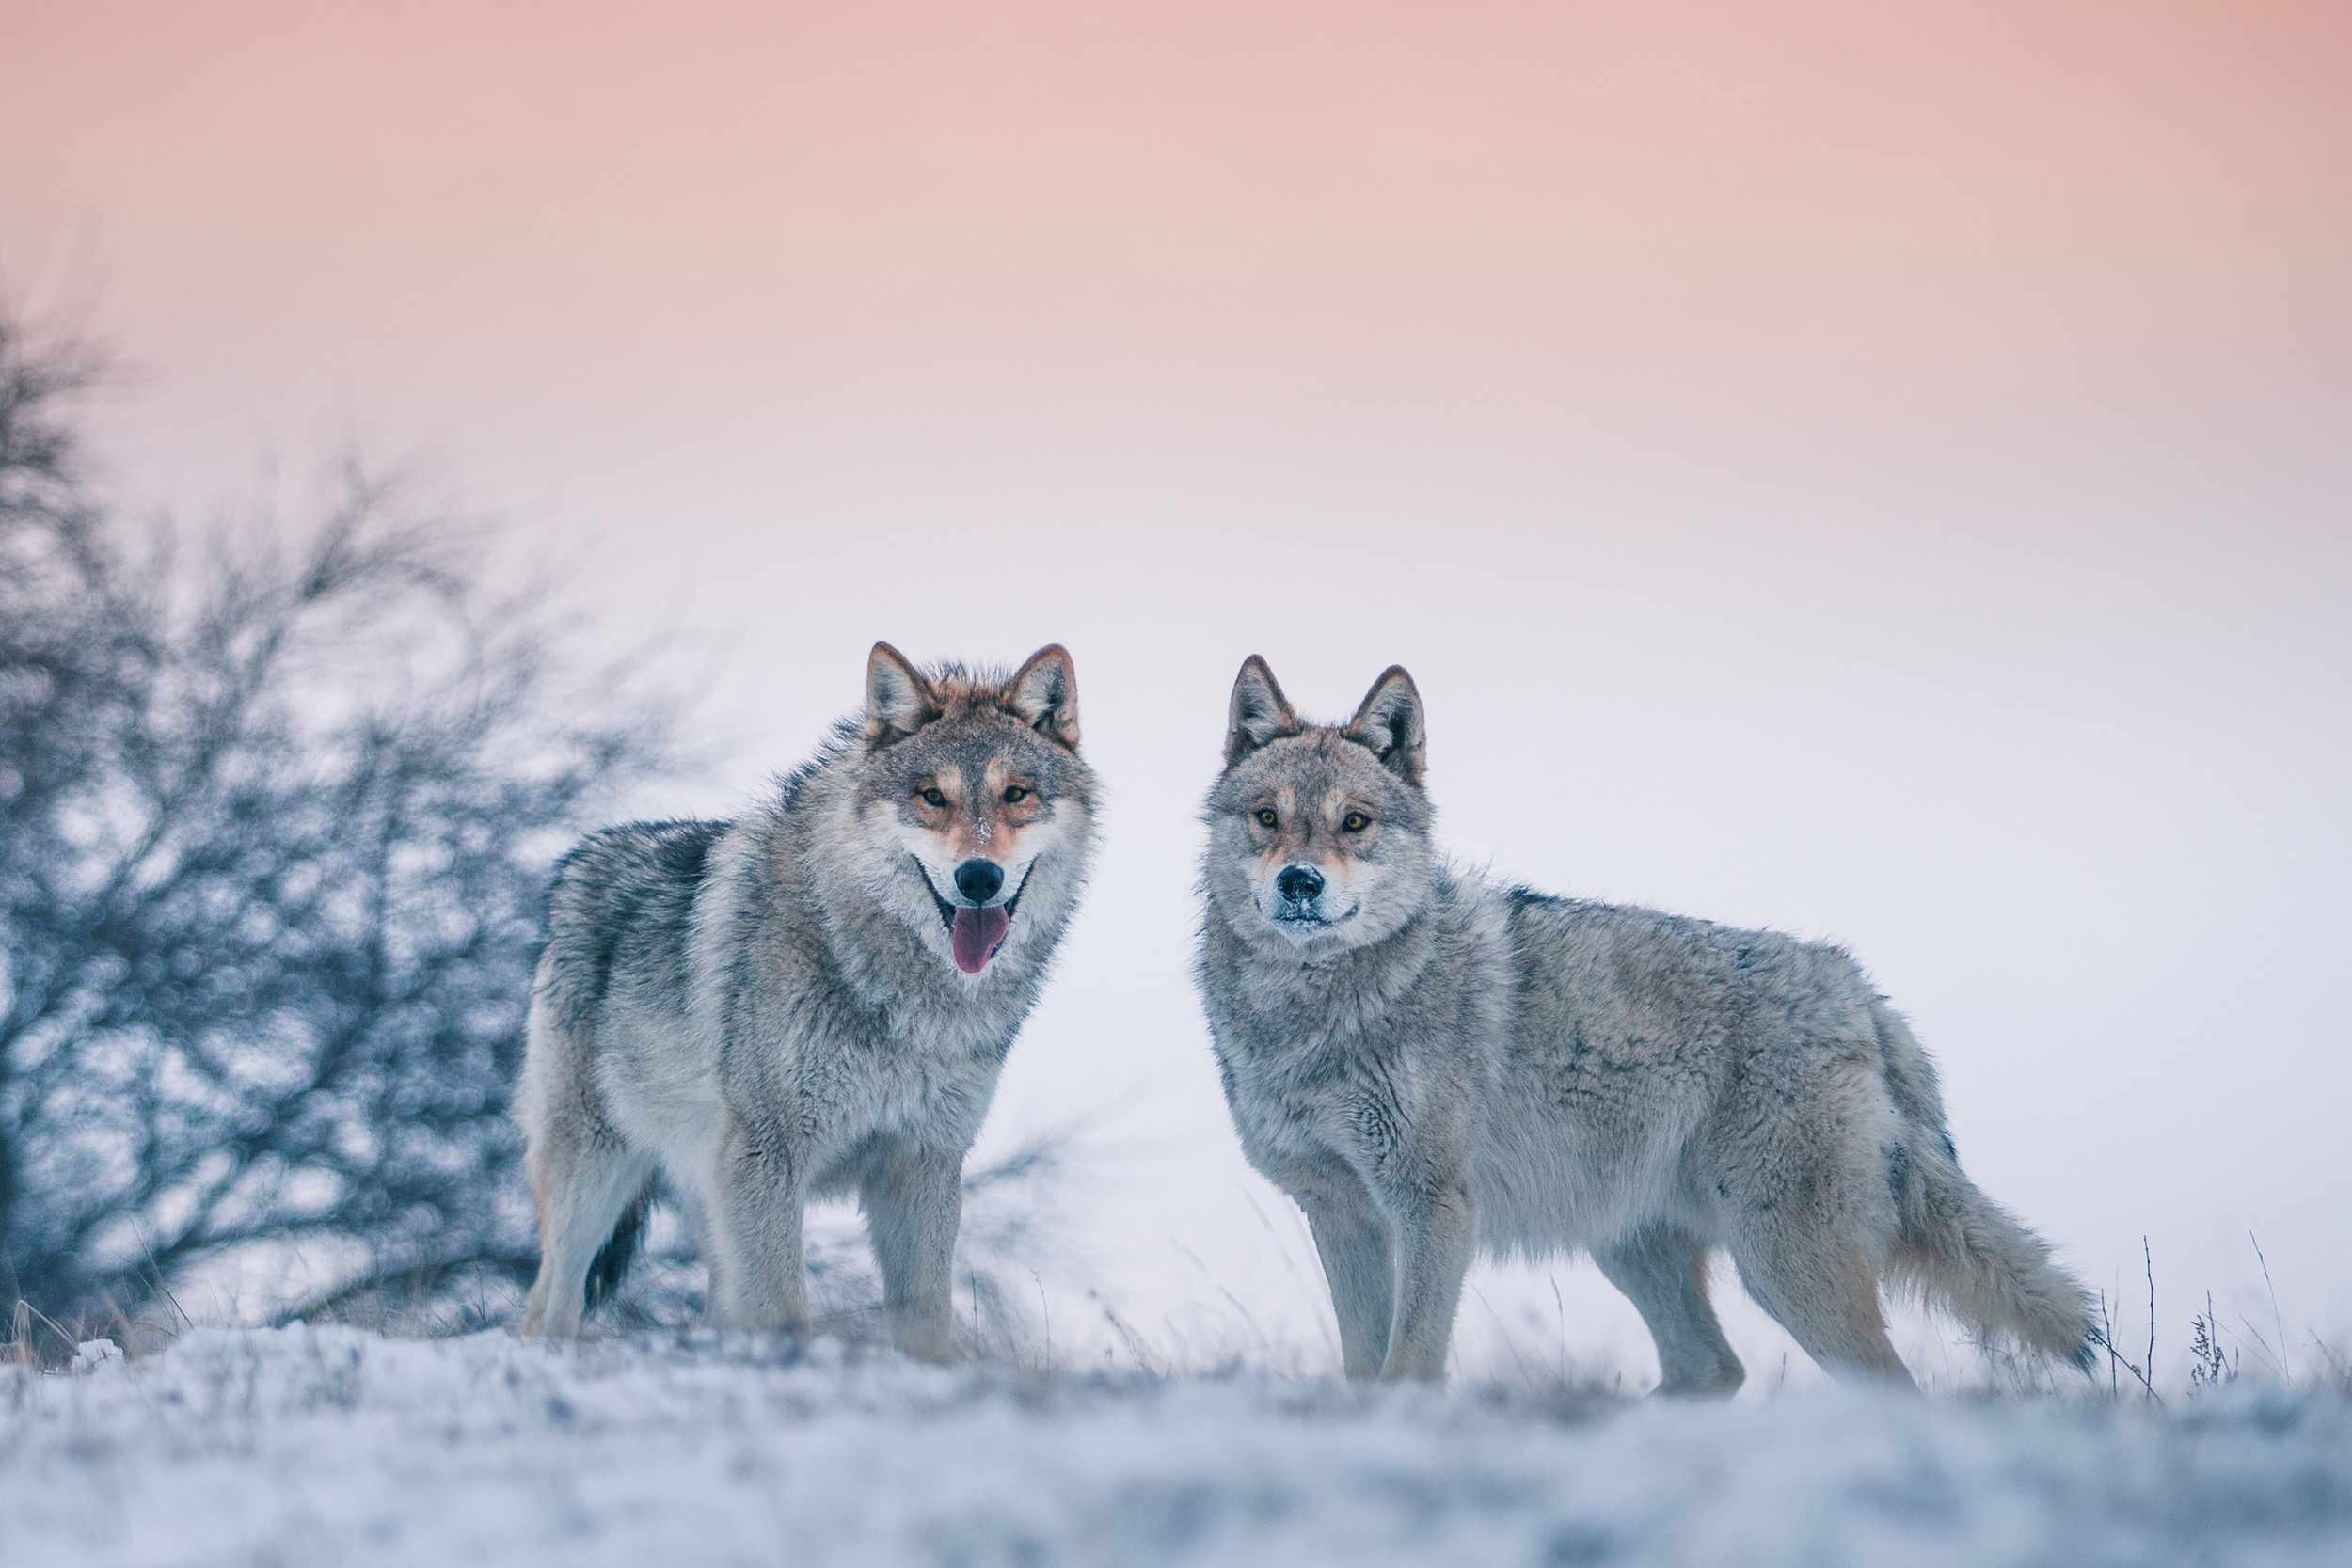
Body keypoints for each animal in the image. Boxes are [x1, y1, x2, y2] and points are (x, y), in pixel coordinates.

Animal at [515, 643, 1091, 1354]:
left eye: (1016, 794)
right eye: (933, 796)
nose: (978, 877)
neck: (901, 995)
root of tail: (579, 860)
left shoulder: (922, 1165)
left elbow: (926, 1319)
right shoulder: (769, 1155)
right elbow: (785, 1313)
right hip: (596, 1174)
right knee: (549, 1306)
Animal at [1195, 657, 2098, 1391]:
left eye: (1355, 822)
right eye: (1268, 817)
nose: (1300, 882)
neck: (1311, 1016)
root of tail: (1859, 989)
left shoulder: (1432, 1206)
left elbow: (1408, 1362)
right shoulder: (1340, 1215)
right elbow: (1361, 1363)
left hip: (1783, 1266)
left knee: (1880, 1383)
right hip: (1637, 1249)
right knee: (1714, 1367)